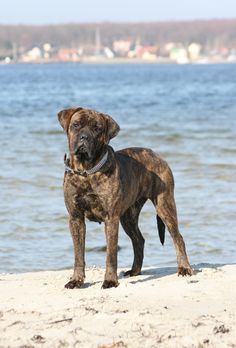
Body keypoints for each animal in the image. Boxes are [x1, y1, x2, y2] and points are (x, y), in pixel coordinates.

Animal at [58, 107, 193, 290]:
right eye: (76, 125)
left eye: (97, 128)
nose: (84, 137)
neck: (86, 171)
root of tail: (158, 155)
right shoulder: (75, 218)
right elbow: (78, 254)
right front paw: (76, 280)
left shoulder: (111, 219)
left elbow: (111, 253)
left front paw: (110, 280)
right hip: (129, 216)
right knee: (139, 240)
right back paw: (135, 270)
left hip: (164, 205)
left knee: (177, 237)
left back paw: (184, 268)